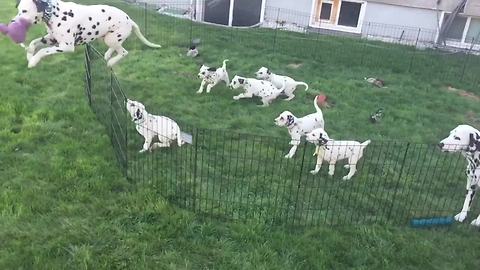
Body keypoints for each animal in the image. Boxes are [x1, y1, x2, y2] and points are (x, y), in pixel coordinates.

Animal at [14, 0, 161, 67]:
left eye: (24, 11)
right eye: (19, 10)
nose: (12, 22)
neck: (56, 13)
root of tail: (129, 19)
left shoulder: (66, 46)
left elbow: (43, 51)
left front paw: (33, 61)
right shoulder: (52, 39)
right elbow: (34, 43)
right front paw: (29, 55)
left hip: (112, 39)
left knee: (124, 52)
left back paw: (111, 62)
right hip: (108, 38)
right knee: (115, 48)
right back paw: (108, 56)